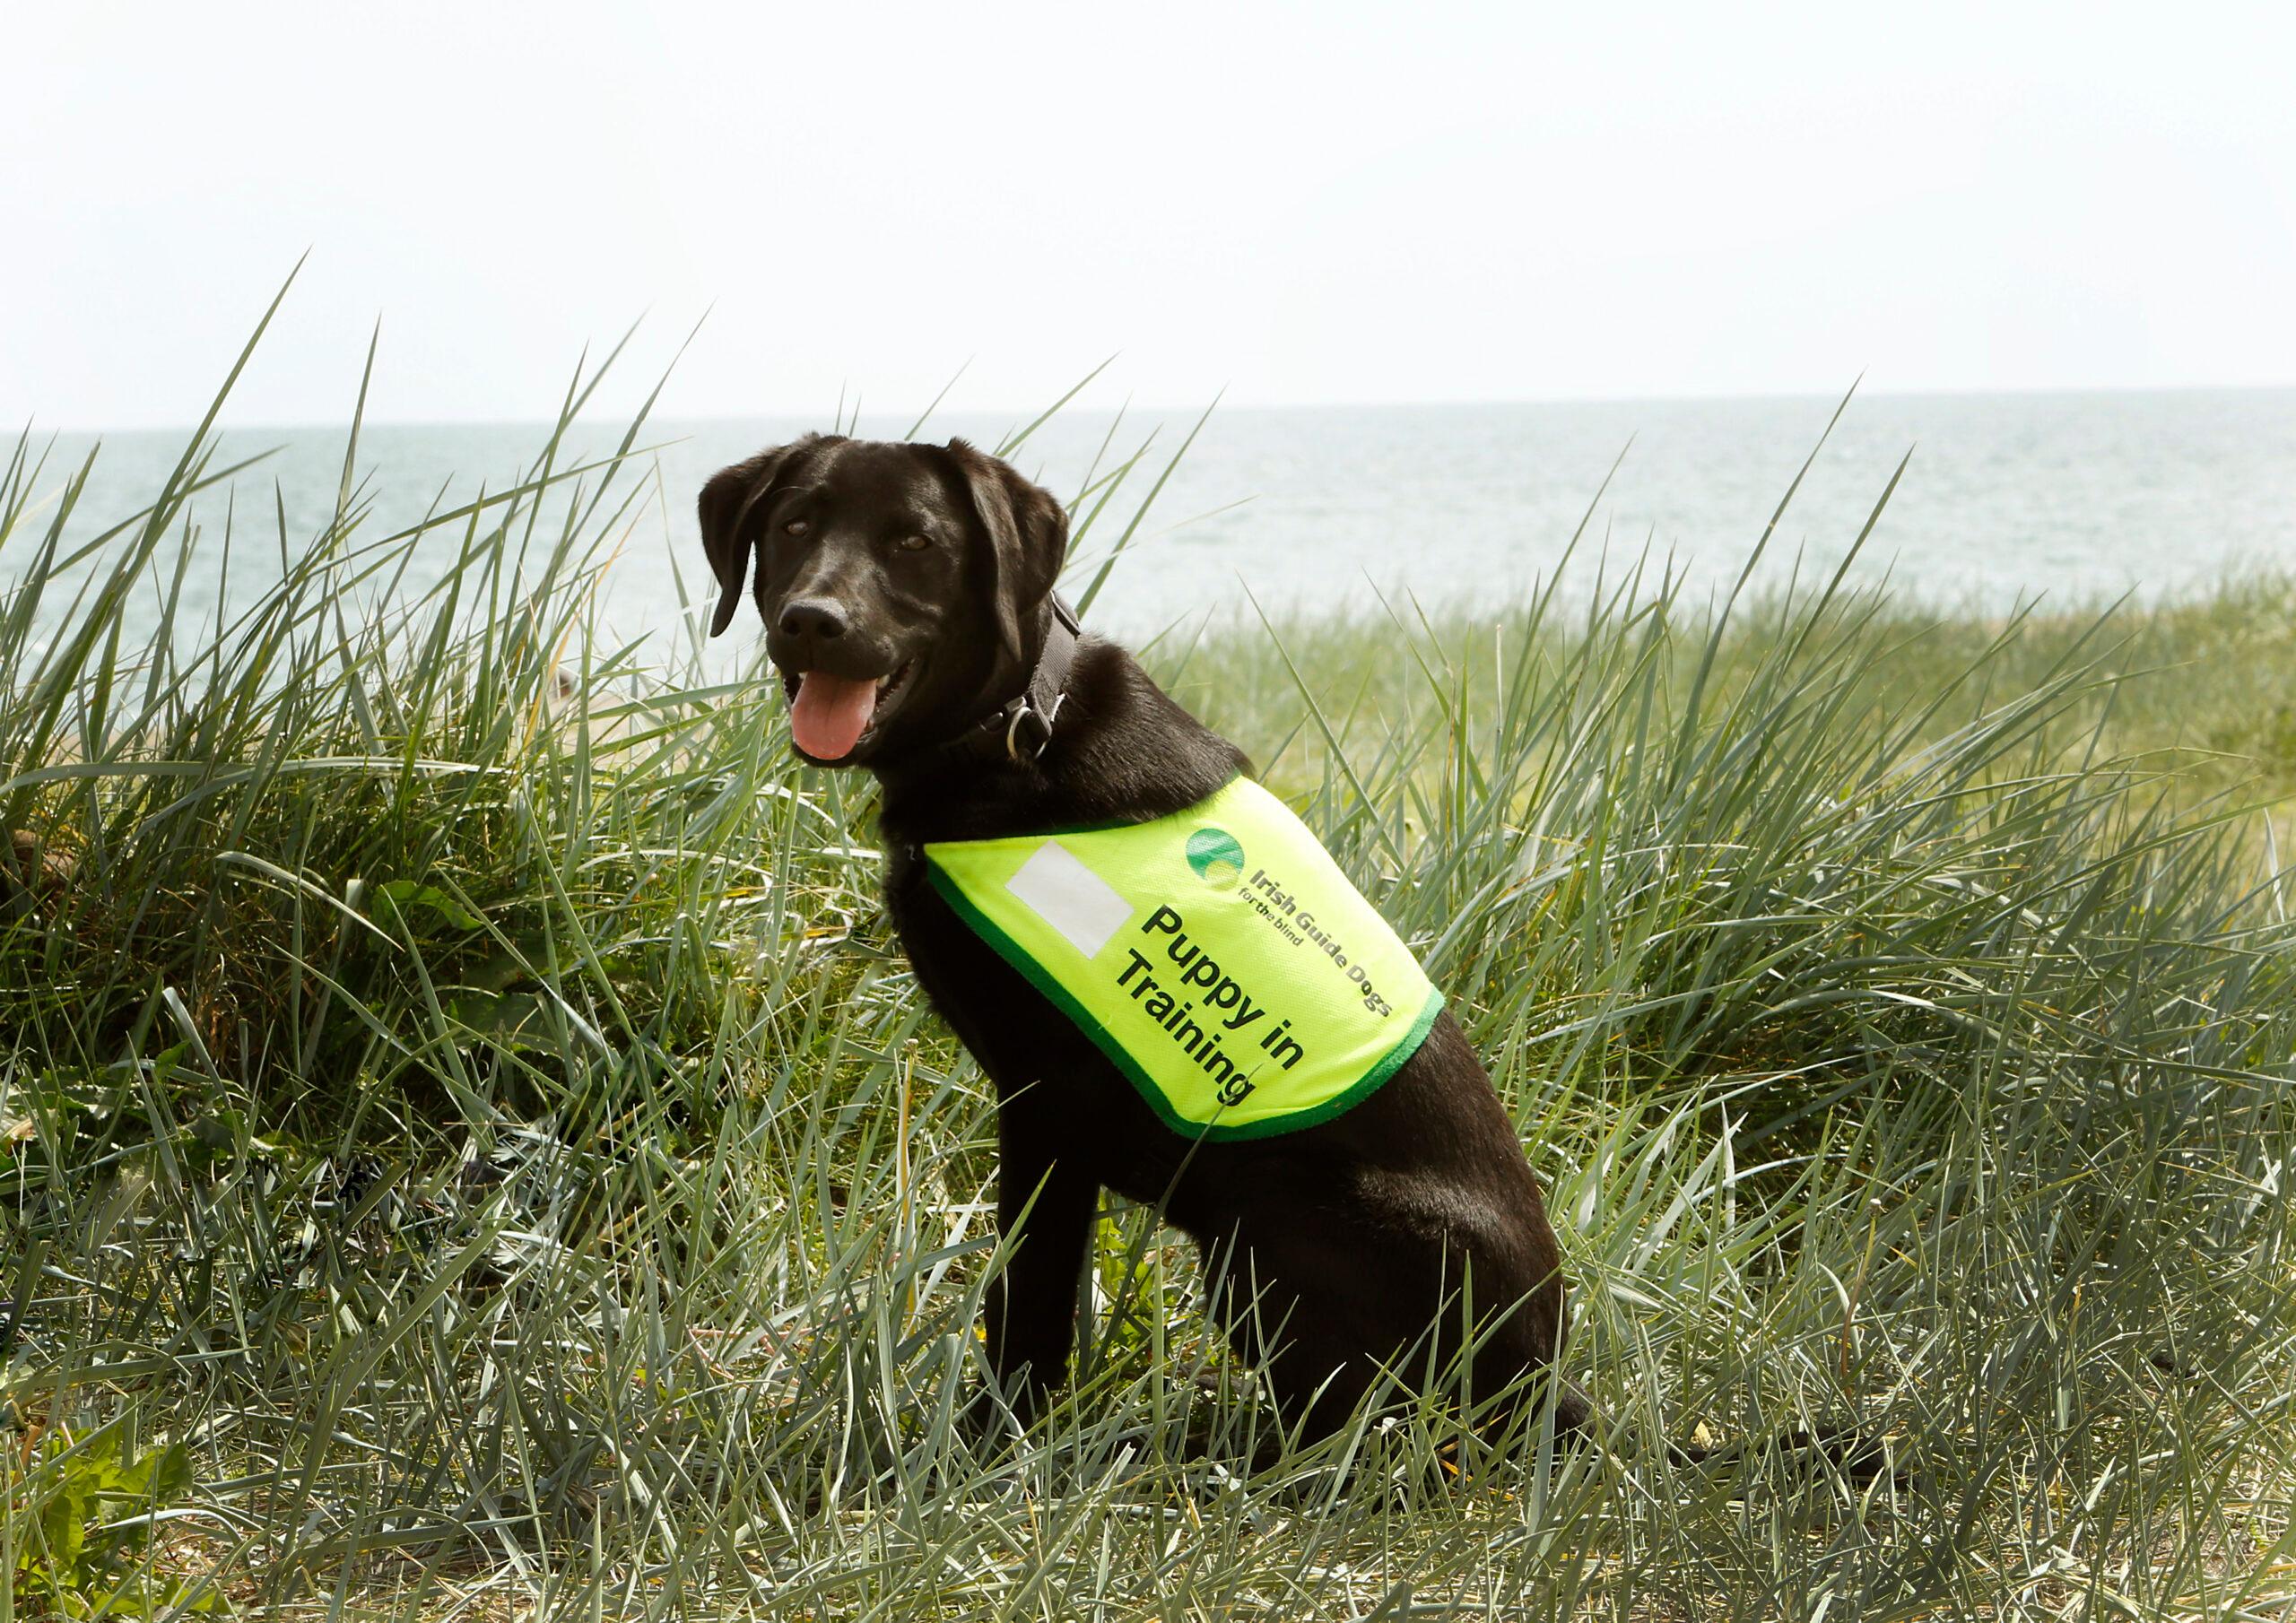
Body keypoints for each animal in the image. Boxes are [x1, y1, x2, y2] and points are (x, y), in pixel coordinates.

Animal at [698, 438, 1588, 1441]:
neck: (1017, 733)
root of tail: (1556, 1386)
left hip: (1272, 1215)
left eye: (915, 541)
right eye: (794, 525)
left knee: (1353, 1433)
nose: (815, 621)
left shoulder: (1046, 1103)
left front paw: (992, 1442)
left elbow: (1029, 1297)